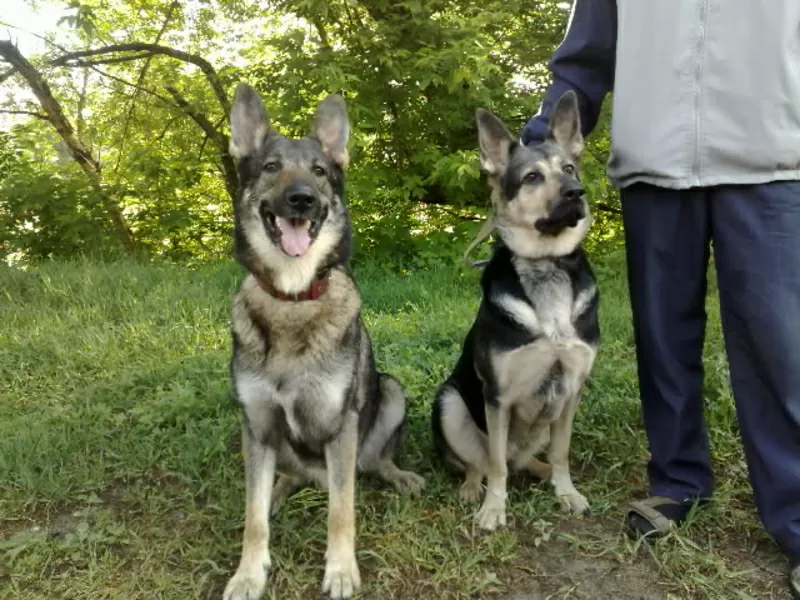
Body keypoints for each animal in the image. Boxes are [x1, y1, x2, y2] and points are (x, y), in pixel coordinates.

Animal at [222, 83, 424, 600]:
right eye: (271, 167)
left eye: (318, 171)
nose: (302, 200)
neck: (293, 298)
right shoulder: (257, 425)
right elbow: (251, 518)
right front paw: (248, 573)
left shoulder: (340, 429)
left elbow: (341, 511)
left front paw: (341, 570)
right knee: (286, 478)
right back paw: (278, 491)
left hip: (389, 391)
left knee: (373, 463)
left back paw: (400, 476)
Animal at [432, 89, 600, 528]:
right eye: (532, 177)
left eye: (569, 168)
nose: (576, 192)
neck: (546, 264)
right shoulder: (498, 396)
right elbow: (495, 465)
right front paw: (494, 508)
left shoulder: (571, 388)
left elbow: (561, 452)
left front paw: (566, 491)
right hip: (450, 403)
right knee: (481, 462)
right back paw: (473, 488)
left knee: (525, 460)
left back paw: (541, 472)